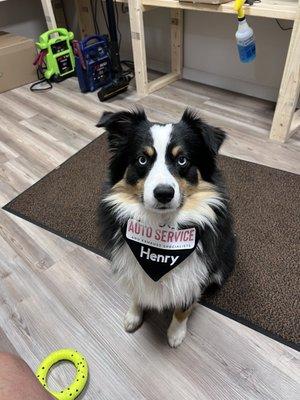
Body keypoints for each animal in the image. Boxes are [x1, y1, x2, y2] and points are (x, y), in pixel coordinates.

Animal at [97, 107, 236, 346]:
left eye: (182, 160)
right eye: (142, 159)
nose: (163, 193)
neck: (161, 228)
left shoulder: (193, 276)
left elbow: (183, 307)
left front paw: (175, 333)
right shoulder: (132, 264)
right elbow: (138, 290)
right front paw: (134, 315)